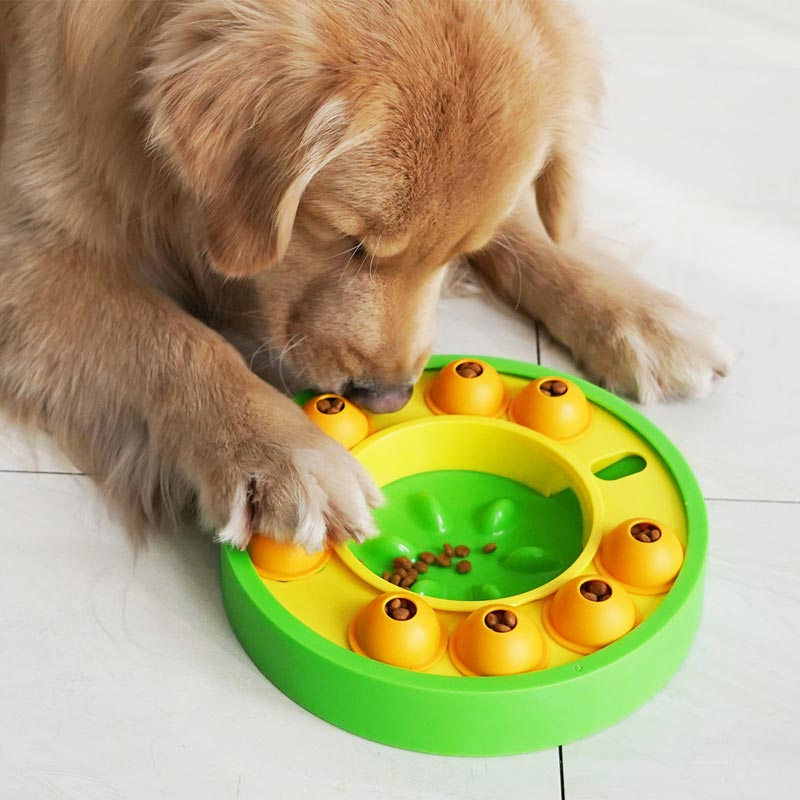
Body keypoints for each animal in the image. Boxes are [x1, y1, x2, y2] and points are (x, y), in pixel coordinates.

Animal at [0, 0, 732, 552]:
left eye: (455, 252)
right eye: (349, 241)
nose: (386, 396)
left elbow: (537, 230)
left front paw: (637, 314)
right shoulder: (27, 247)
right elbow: (173, 339)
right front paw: (280, 453)